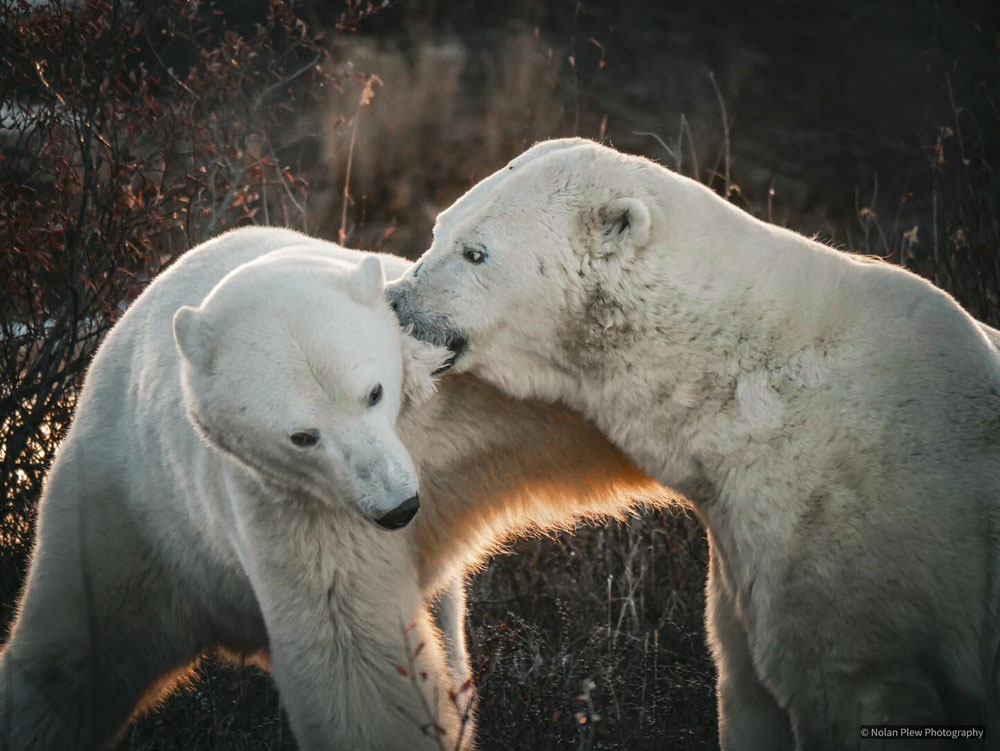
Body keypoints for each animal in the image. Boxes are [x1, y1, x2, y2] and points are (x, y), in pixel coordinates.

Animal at [1, 225, 663, 750]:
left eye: (373, 391)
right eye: (302, 436)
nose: (400, 507)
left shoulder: (456, 390)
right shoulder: (295, 502)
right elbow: (352, 650)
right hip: (127, 513)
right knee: (65, 662)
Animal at [386, 138, 1000, 750]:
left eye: (476, 253)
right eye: (441, 226)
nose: (396, 302)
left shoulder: (847, 560)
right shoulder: (743, 562)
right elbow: (748, 690)